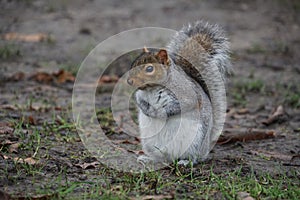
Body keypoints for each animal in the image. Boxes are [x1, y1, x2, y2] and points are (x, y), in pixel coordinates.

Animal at [126, 20, 232, 165]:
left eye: (149, 69)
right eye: (133, 63)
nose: (129, 81)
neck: (151, 89)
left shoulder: (187, 95)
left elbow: (179, 106)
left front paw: (159, 113)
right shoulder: (140, 95)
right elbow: (140, 102)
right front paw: (147, 111)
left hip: (194, 142)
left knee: (193, 157)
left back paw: (186, 162)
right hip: (149, 143)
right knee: (160, 157)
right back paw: (149, 158)